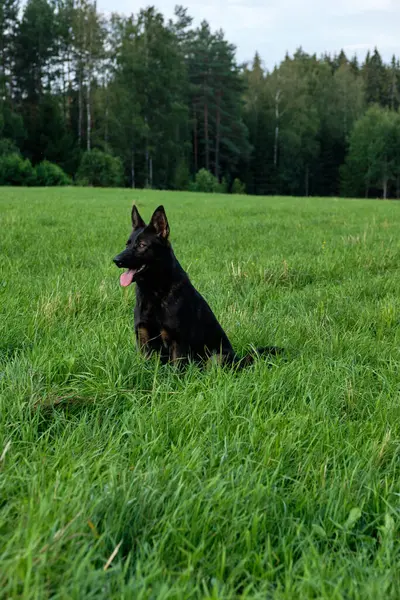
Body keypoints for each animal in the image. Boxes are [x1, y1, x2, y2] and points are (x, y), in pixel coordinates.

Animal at [112, 204, 282, 368]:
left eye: (142, 245)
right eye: (127, 244)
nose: (116, 260)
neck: (155, 291)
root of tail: (239, 361)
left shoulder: (178, 343)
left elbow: (175, 372)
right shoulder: (144, 340)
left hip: (215, 357)